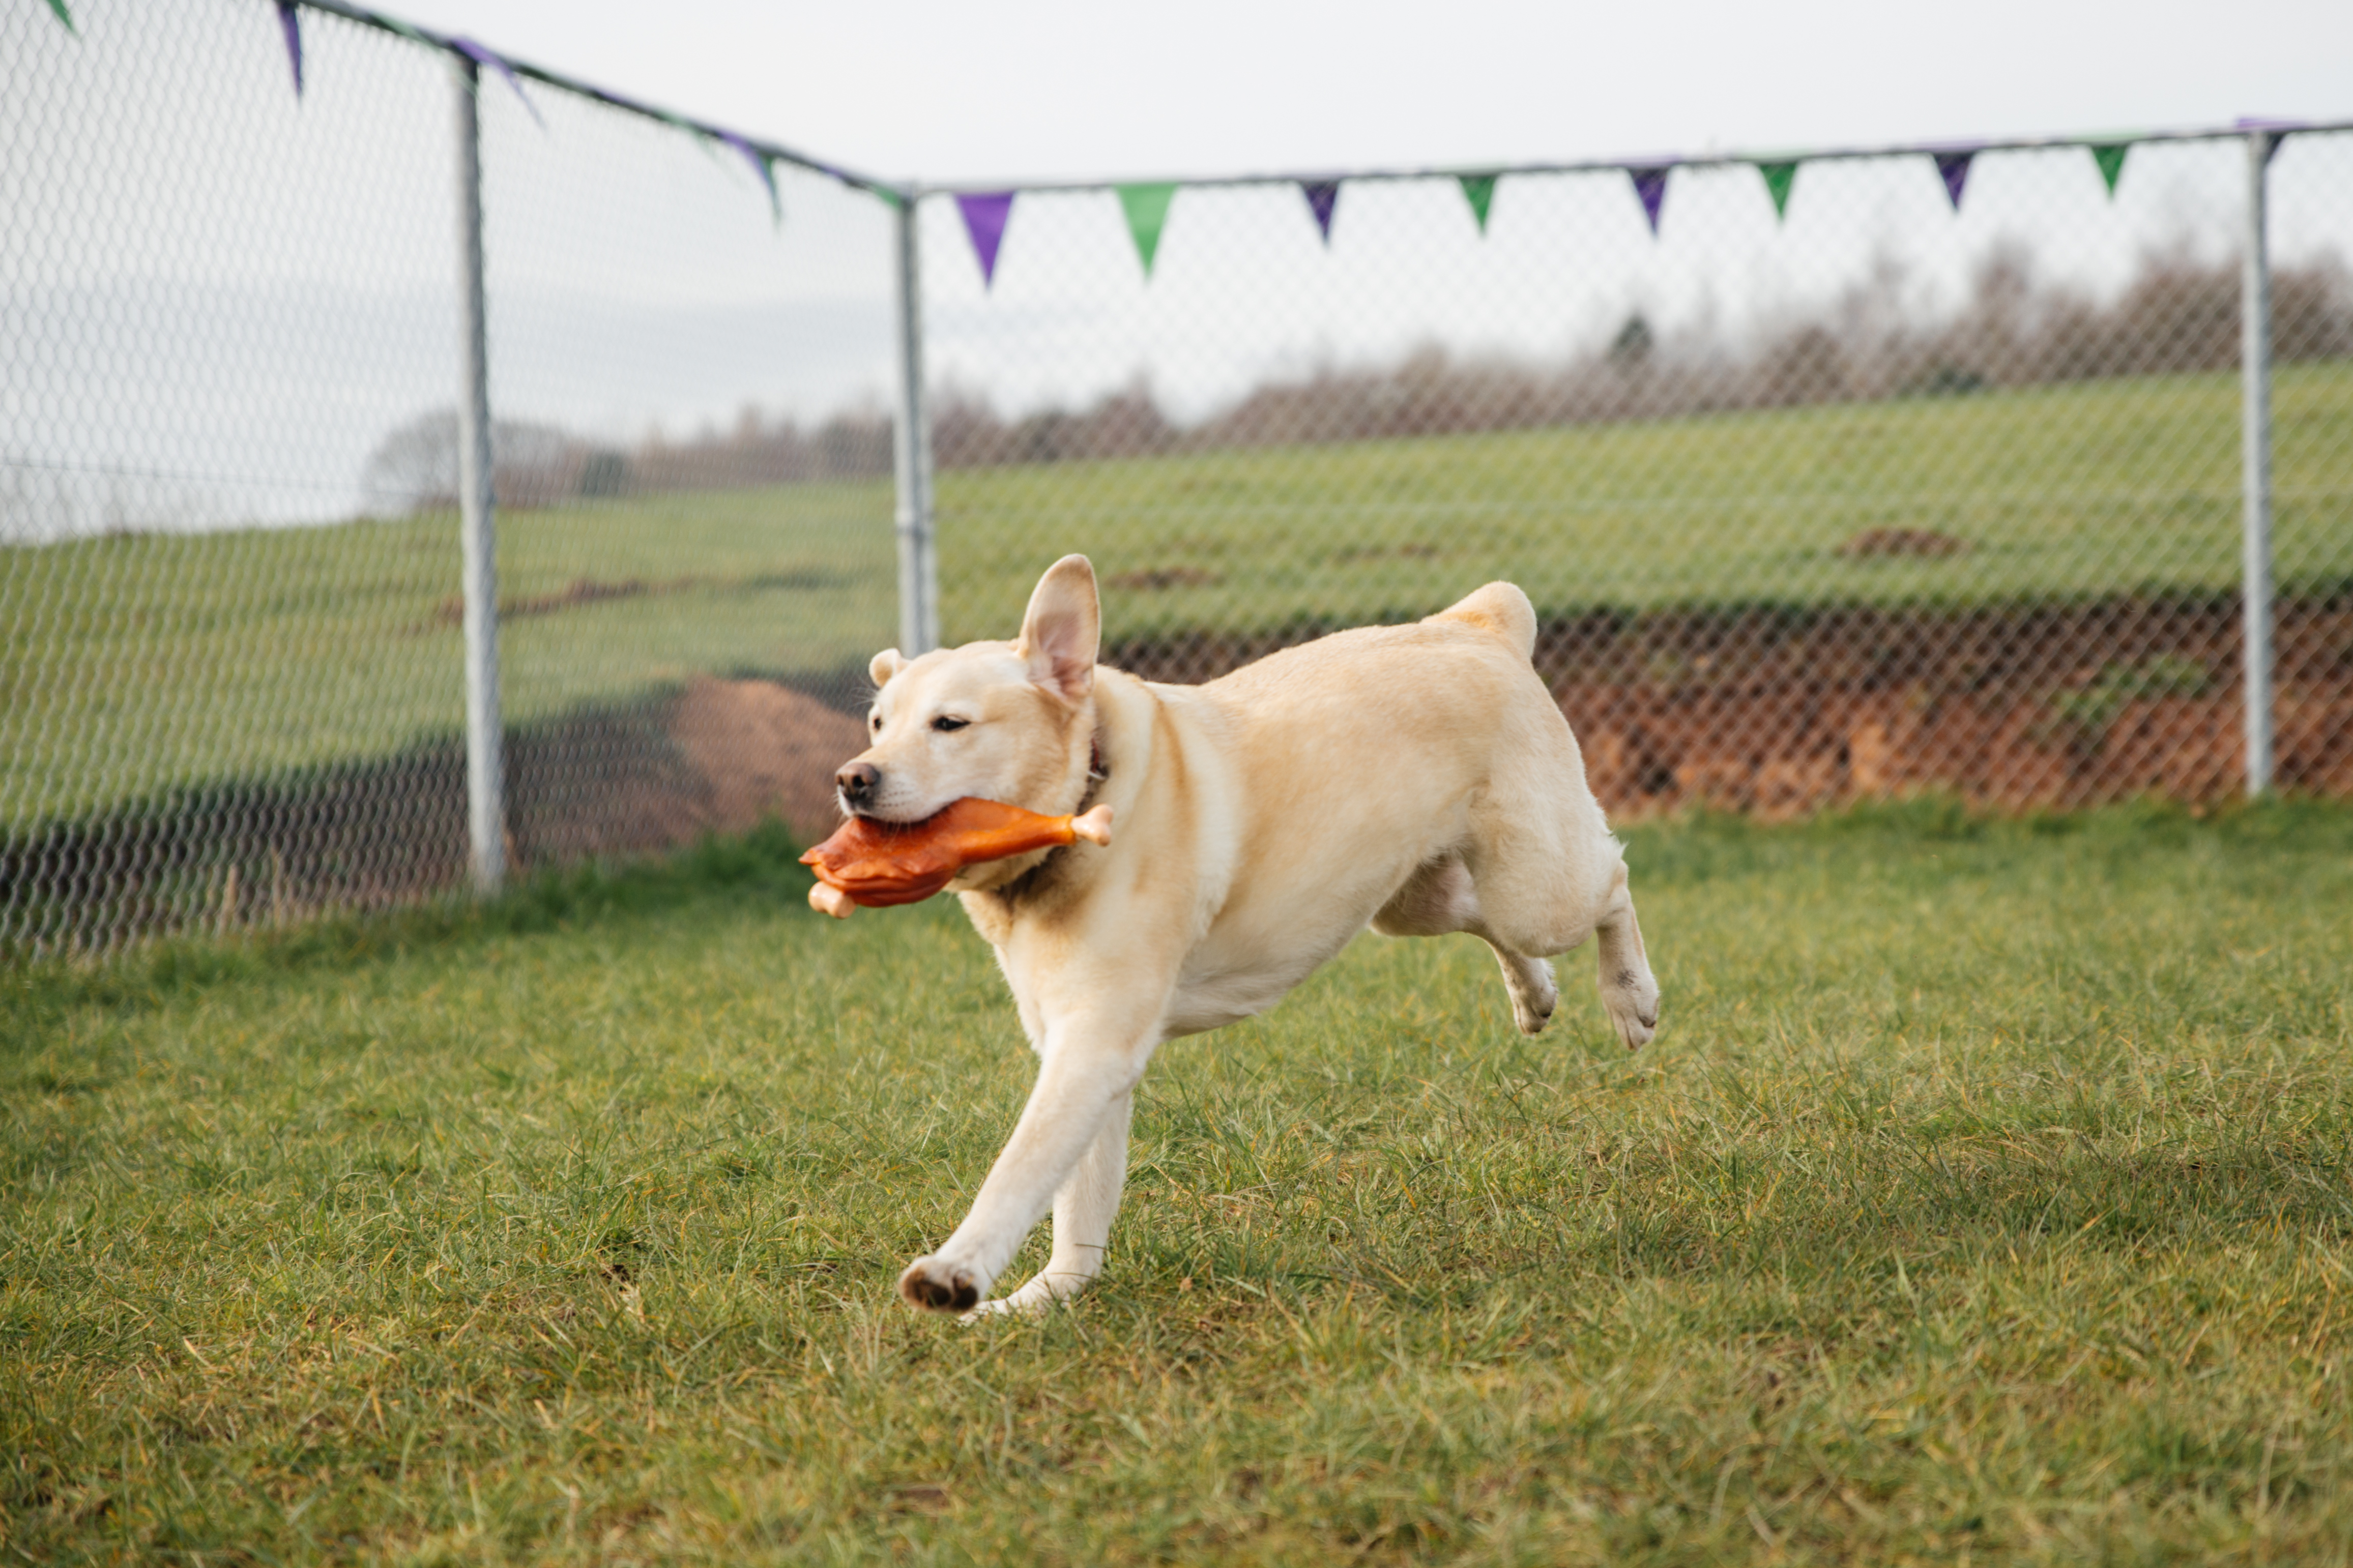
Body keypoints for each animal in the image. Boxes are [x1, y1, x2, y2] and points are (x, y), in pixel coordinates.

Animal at [842, 557, 1657, 1316]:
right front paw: (1047, 1296)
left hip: (1537, 889)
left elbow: (1019, 1169)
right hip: (1412, 899)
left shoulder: (1095, 1044)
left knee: (1613, 879)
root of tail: (1476, 623)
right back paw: (1534, 993)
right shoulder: (1077, 1049)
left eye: (950, 723)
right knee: (1489, 917)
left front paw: (955, 1273)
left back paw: (1630, 997)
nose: (852, 779)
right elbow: (1077, 1202)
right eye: (879, 724)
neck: (1087, 797)